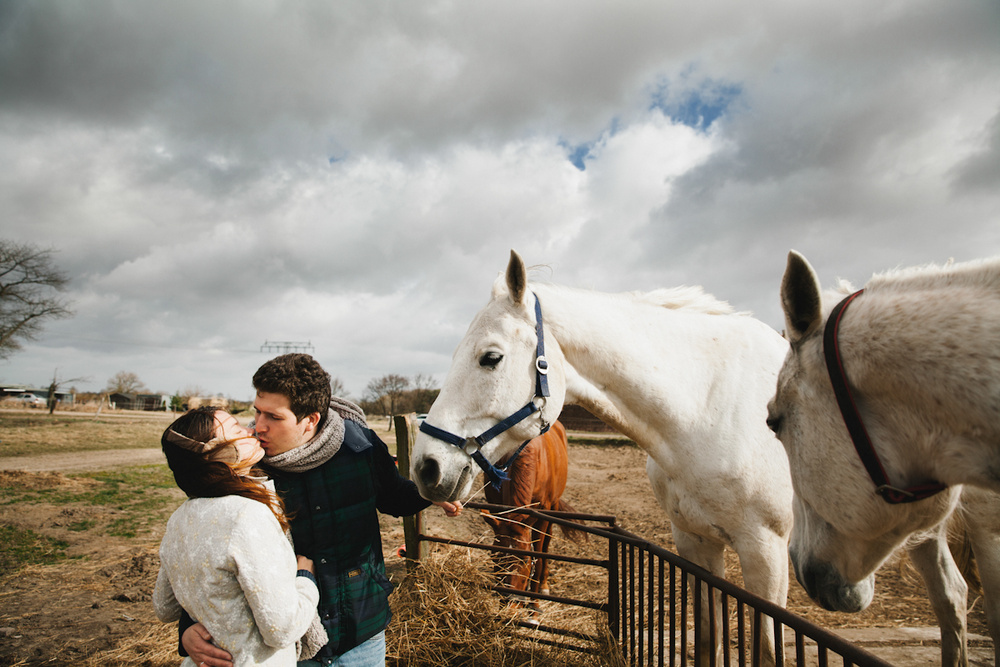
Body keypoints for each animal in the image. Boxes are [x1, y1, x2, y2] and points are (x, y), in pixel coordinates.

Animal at [480, 420, 584, 612]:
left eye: (525, 560)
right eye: (494, 557)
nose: (510, 605)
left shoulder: (542, 514)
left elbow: (539, 556)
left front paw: (534, 607)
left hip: (553, 506)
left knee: (547, 543)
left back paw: (543, 585)